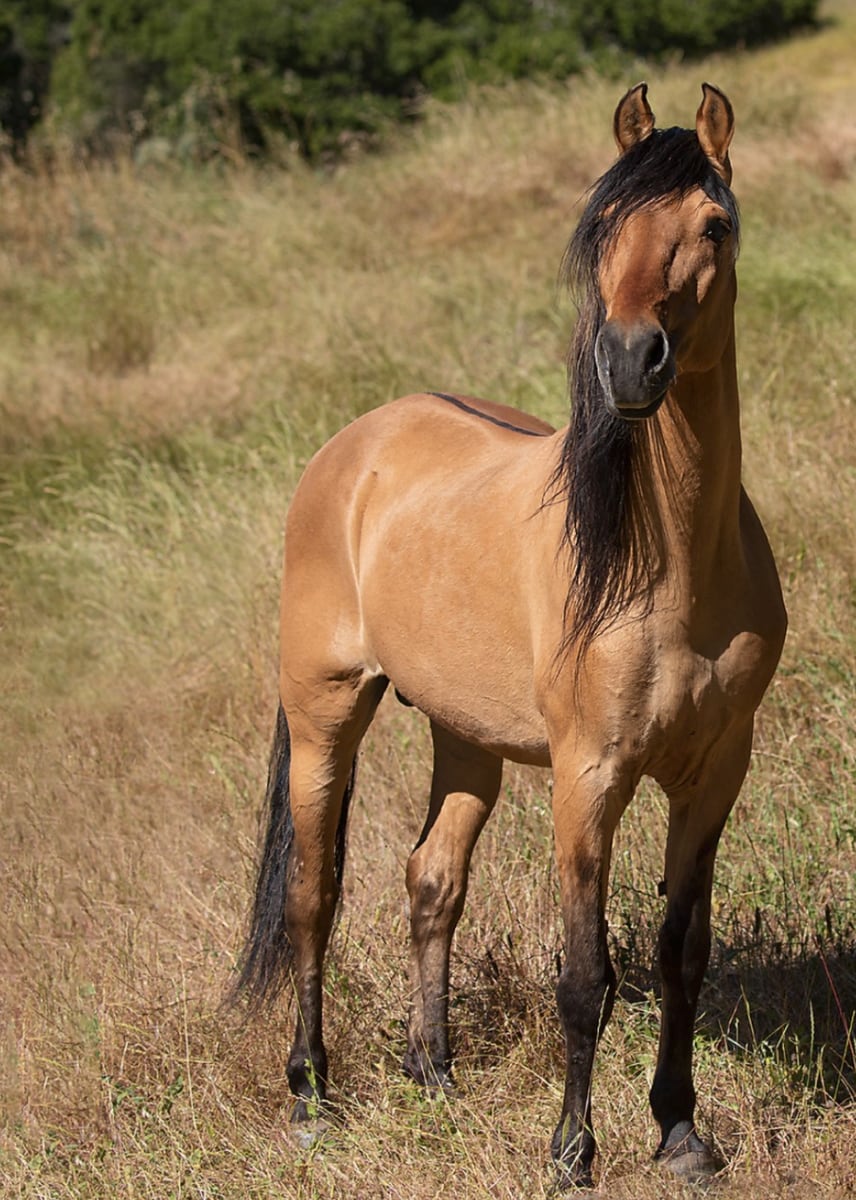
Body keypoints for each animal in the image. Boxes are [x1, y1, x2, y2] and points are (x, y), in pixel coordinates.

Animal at [236, 87, 782, 1190]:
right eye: (603, 226)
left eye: (713, 224)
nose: (629, 360)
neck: (670, 563)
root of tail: (353, 447)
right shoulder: (589, 775)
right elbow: (585, 975)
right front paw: (572, 1151)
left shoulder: (714, 772)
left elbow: (682, 953)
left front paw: (681, 1133)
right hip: (324, 719)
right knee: (314, 897)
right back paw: (312, 1092)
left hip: (465, 738)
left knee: (431, 880)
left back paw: (433, 1073)